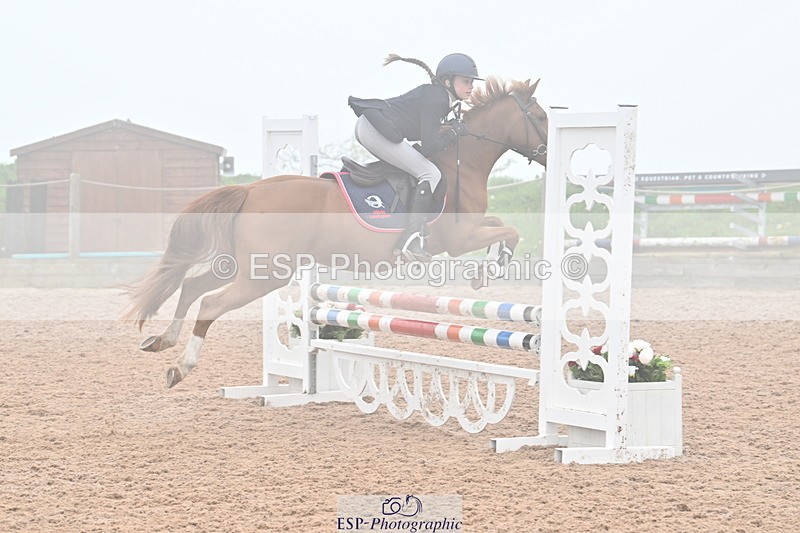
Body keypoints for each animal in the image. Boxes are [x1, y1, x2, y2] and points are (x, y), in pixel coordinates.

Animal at [124, 77, 548, 388]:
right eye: (542, 117)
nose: (547, 155)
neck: (463, 161)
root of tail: (250, 191)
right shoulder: (459, 239)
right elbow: (509, 231)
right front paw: (489, 269)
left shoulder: (471, 230)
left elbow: (502, 227)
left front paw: (487, 269)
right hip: (266, 274)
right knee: (210, 303)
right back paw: (180, 367)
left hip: (246, 266)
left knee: (191, 286)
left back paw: (161, 341)